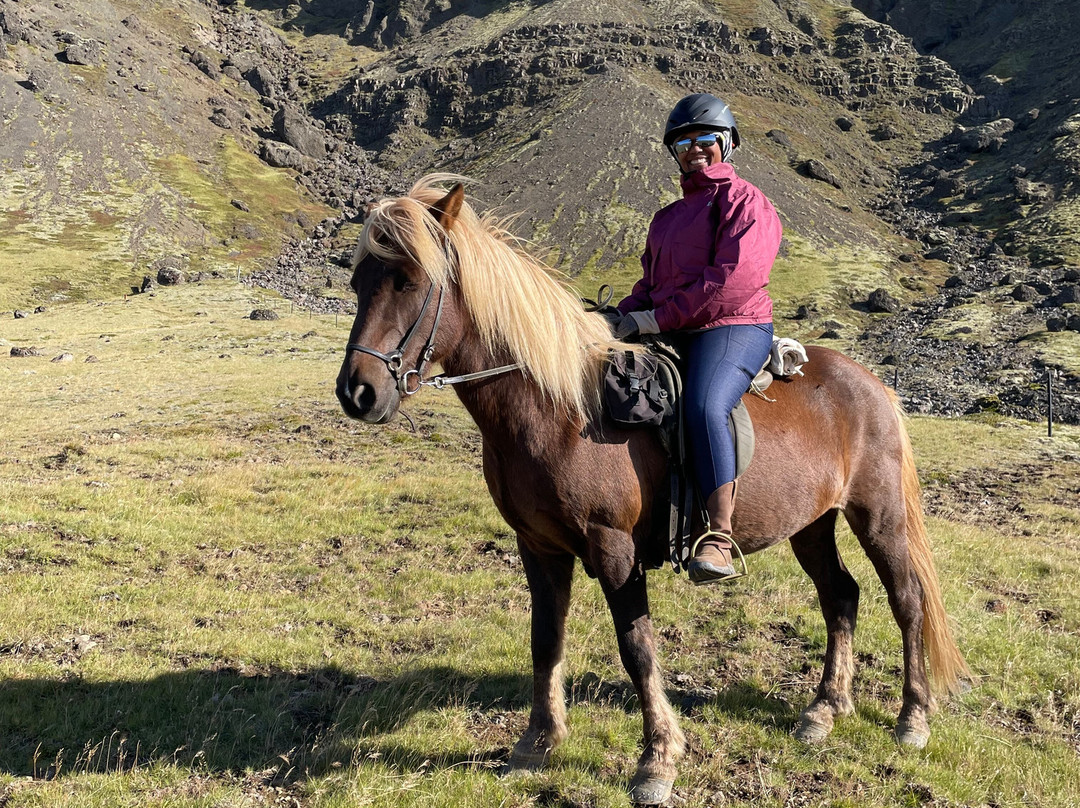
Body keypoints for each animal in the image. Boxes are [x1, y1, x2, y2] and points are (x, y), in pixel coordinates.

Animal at [335, 174, 970, 806]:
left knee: (906, 599)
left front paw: (657, 759)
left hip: (877, 516)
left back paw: (912, 718)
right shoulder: (538, 546)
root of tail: (873, 385)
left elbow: (636, 645)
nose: (357, 393)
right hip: (811, 524)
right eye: (359, 281)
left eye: (409, 279)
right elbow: (546, 637)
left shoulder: (613, 549)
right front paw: (538, 743)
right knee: (840, 595)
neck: (561, 407)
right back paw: (825, 709)